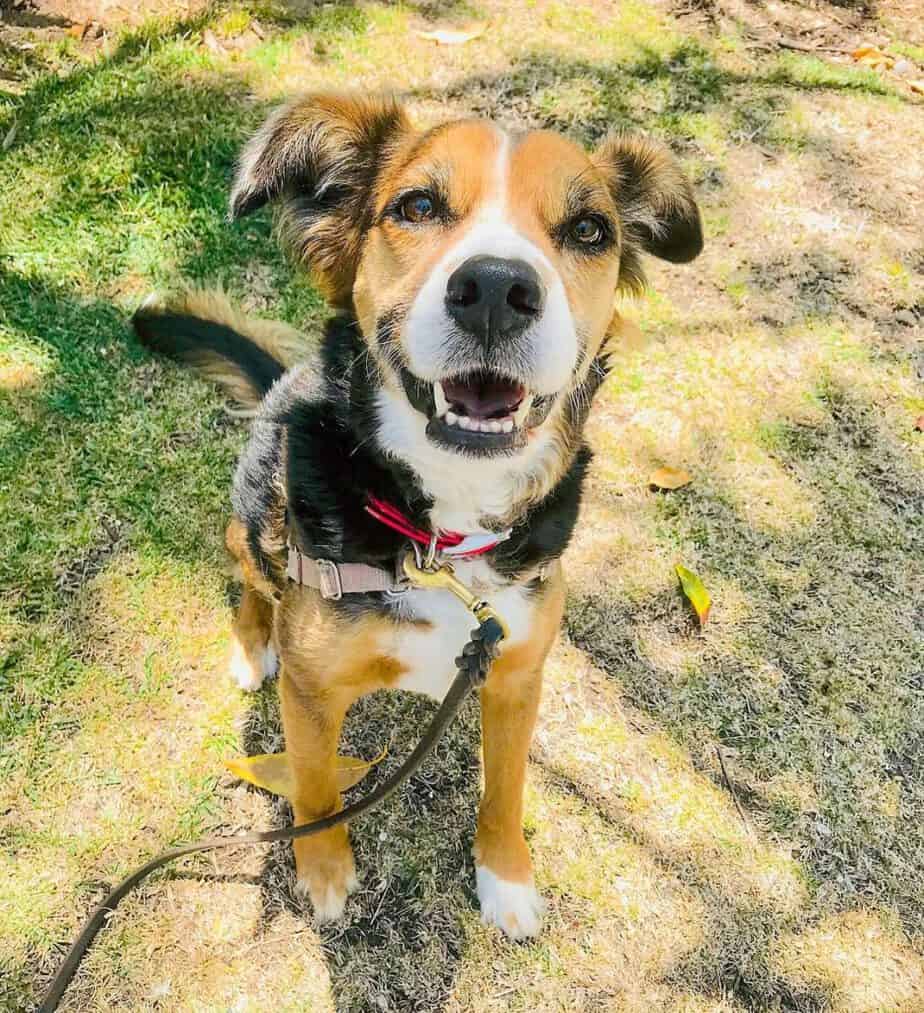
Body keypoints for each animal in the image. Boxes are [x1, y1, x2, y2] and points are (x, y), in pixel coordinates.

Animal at [133, 91, 705, 936]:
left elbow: (506, 790)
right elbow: (315, 788)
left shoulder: (517, 674)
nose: (497, 290)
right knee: (250, 581)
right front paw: (324, 874)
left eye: (588, 229)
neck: (444, 534)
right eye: (419, 206)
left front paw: (505, 876)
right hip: (252, 525)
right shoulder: (312, 692)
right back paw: (250, 644)